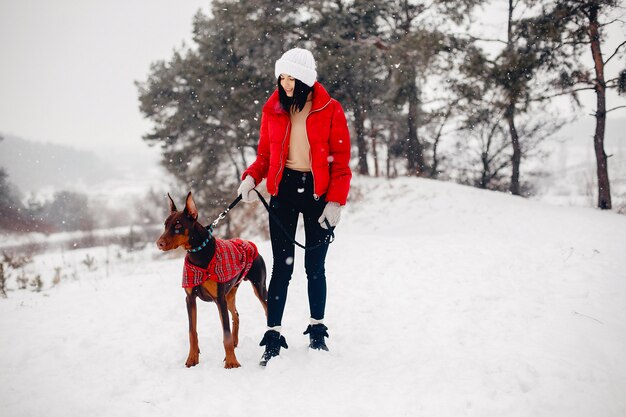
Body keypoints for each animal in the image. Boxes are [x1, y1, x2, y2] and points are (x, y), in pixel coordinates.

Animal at [155, 192, 266, 368]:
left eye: (178, 225)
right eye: (165, 225)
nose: (159, 243)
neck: (198, 254)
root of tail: (248, 242)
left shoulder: (219, 299)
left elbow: (225, 333)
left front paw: (232, 362)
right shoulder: (190, 298)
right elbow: (192, 331)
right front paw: (192, 358)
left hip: (258, 288)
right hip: (230, 293)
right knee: (236, 315)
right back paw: (235, 342)